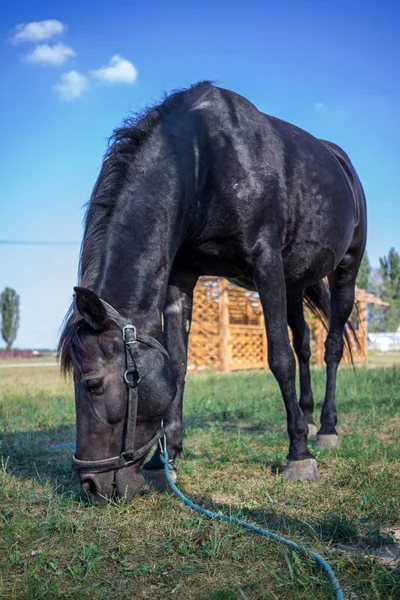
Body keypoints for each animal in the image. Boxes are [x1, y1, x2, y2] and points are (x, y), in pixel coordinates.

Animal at [58, 79, 366, 502]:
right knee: (304, 344)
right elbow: (178, 362)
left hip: (344, 272)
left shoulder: (266, 261)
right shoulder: (182, 276)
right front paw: (165, 460)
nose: (91, 485)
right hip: (295, 283)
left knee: (330, 347)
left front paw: (299, 455)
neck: (203, 157)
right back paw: (304, 416)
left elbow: (279, 358)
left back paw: (326, 429)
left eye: (92, 383)